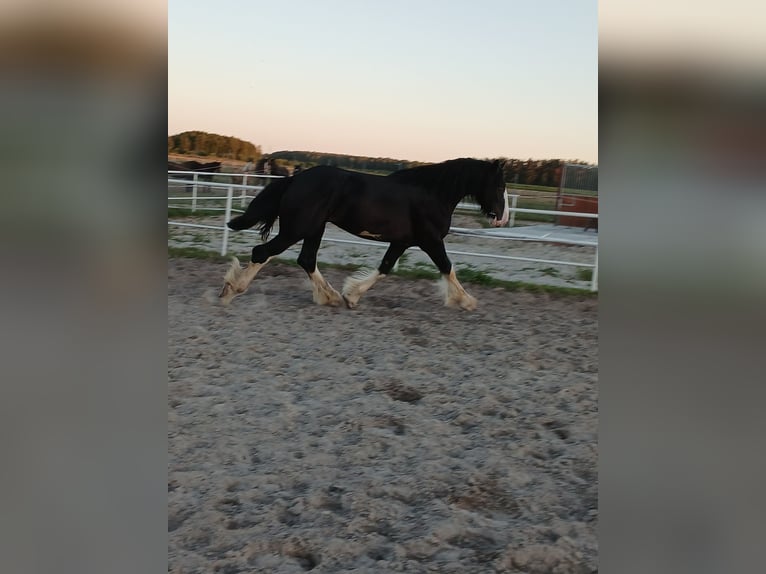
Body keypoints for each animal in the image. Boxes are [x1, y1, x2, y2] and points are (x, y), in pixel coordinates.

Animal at [222, 159, 510, 310]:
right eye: (499, 186)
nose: (503, 218)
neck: (431, 194)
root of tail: (295, 178)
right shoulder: (431, 241)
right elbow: (448, 267)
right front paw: (466, 300)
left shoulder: (402, 242)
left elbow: (385, 267)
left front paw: (351, 295)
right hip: (298, 228)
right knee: (263, 252)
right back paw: (231, 290)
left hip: (314, 228)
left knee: (306, 259)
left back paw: (330, 296)